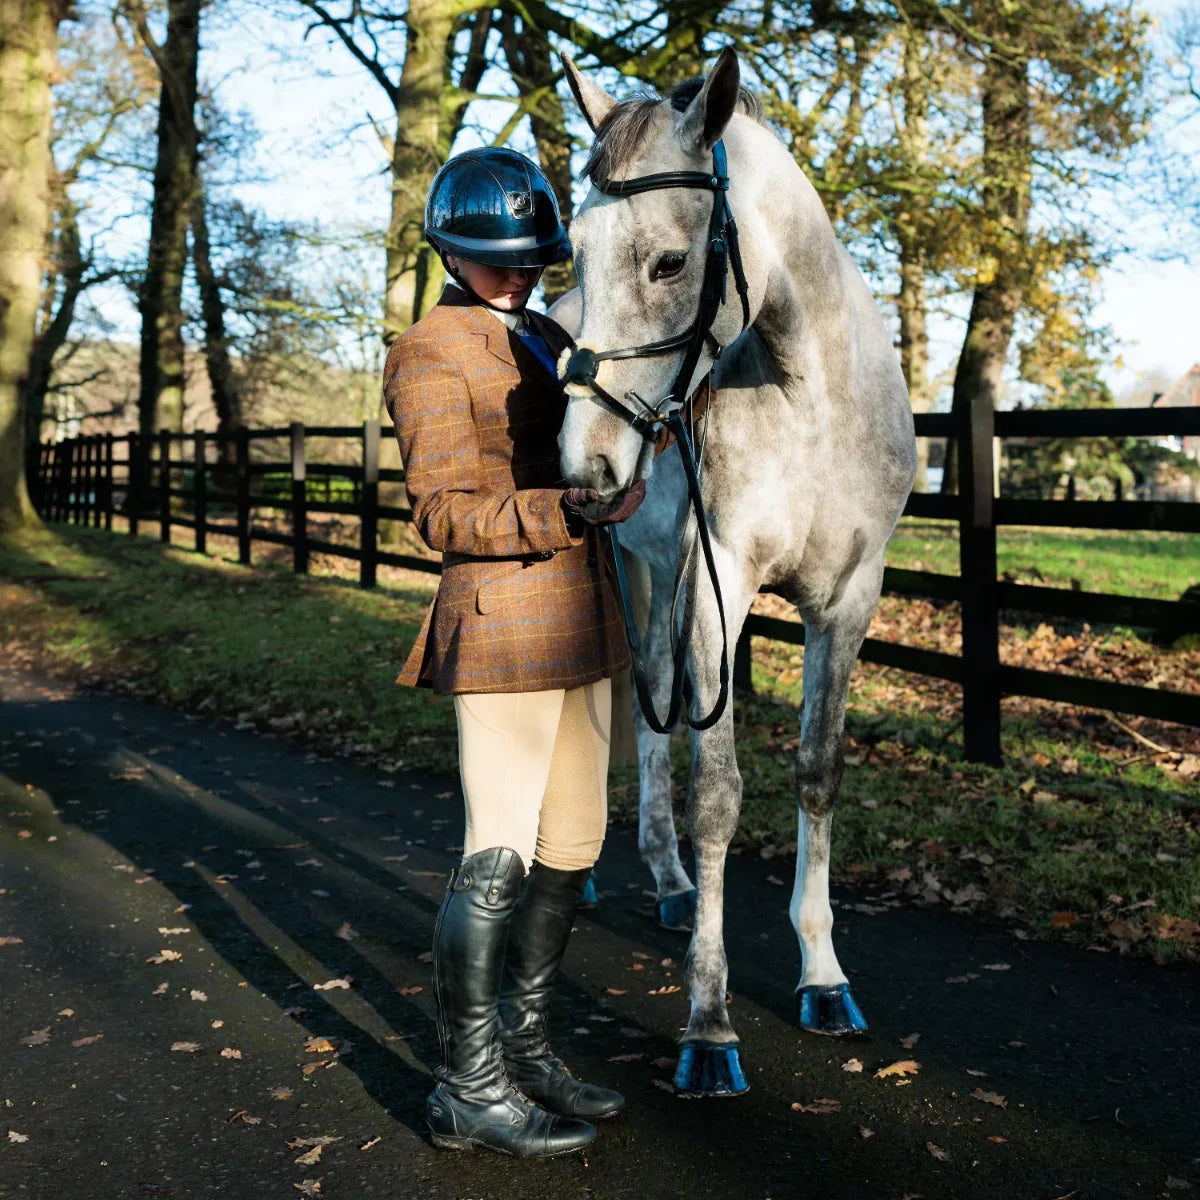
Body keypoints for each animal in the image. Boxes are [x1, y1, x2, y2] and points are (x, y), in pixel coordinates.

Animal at [551, 48, 917, 1096]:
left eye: (670, 262)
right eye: (572, 250)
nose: (584, 467)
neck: (812, 396)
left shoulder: (850, 603)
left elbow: (818, 772)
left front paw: (823, 977)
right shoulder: (720, 589)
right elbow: (716, 794)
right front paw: (709, 1026)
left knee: (651, 706)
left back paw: (673, 886)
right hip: (630, 570)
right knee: (626, 710)